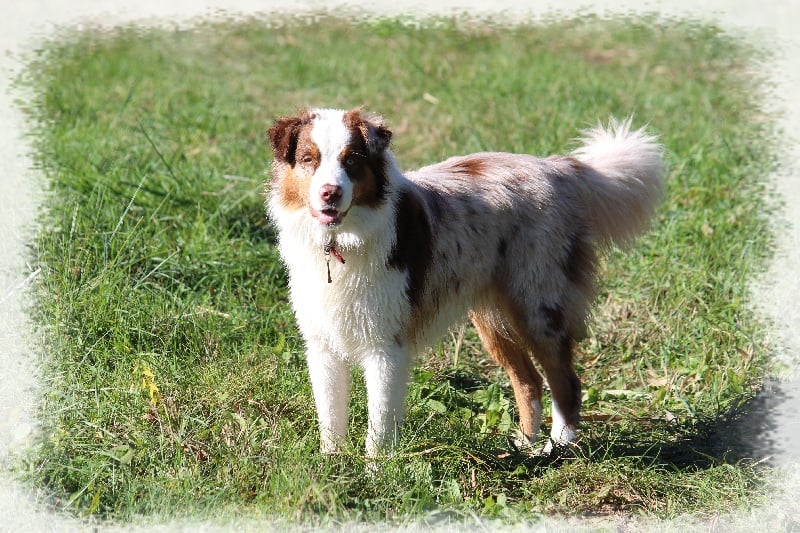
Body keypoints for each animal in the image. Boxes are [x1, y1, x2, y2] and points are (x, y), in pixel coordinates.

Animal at [268, 108, 664, 458]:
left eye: (351, 161)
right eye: (309, 159)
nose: (330, 193)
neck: (339, 244)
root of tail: (558, 167)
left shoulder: (385, 347)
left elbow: (378, 425)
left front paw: (375, 474)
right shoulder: (322, 345)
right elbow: (330, 417)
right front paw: (332, 467)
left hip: (538, 306)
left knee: (565, 381)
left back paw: (557, 449)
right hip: (493, 317)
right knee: (529, 380)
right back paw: (522, 445)